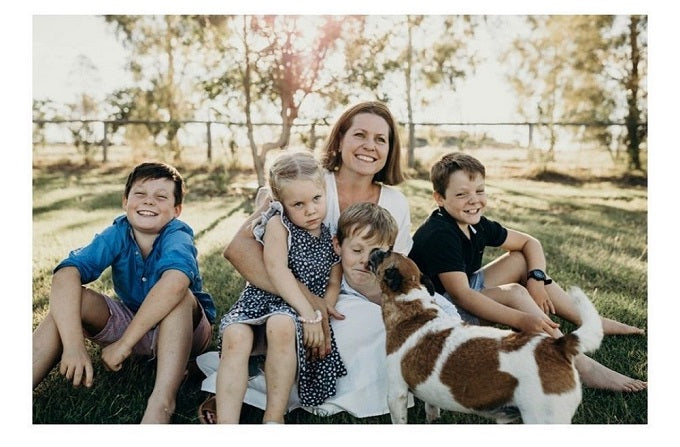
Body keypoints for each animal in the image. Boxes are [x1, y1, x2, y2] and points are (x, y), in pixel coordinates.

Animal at [370, 250, 604, 426]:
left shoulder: (397, 393)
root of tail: (558, 345)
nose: (375, 250)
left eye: (386, 253)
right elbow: (432, 411)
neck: (413, 306)